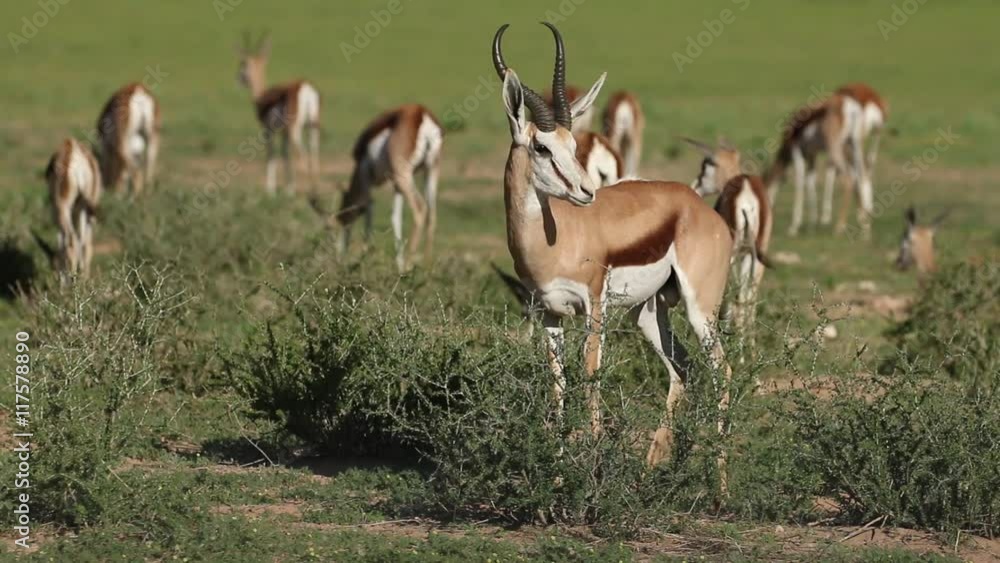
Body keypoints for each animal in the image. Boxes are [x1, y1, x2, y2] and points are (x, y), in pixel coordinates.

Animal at [43, 140, 102, 278]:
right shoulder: (78, 210)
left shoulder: (58, 212)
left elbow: (61, 243)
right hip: (85, 208)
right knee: (85, 244)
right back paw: (83, 280)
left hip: (64, 208)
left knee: (72, 242)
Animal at [235, 34, 320, 196]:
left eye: (243, 64)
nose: (239, 79)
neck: (262, 96)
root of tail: (304, 86)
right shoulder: (283, 133)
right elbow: (284, 155)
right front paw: (285, 188)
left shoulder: (268, 130)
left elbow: (271, 155)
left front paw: (271, 191)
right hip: (313, 127)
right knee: (313, 156)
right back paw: (314, 191)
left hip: (295, 130)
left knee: (302, 157)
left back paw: (300, 192)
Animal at [336, 106, 442, 274]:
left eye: (343, 217)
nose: (339, 257)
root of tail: (421, 112)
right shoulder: (396, 186)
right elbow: (395, 217)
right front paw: (397, 265)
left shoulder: (365, 175)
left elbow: (368, 209)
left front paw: (364, 258)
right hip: (431, 171)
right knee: (432, 215)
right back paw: (426, 268)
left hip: (404, 176)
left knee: (420, 208)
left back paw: (409, 266)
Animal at [494, 23, 736, 472]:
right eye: (542, 147)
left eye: (574, 146)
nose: (587, 192)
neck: (554, 240)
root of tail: (696, 205)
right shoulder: (548, 312)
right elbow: (558, 382)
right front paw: (558, 474)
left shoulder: (594, 305)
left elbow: (590, 375)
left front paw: (591, 466)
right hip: (648, 312)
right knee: (682, 368)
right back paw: (653, 466)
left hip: (700, 310)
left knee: (721, 370)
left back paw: (719, 478)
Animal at [764, 84, 892, 240]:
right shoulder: (811, 155)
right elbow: (810, 182)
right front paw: (812, 225)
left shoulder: (797, 152)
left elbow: (800, 183)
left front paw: (793, 227)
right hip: (855, 145)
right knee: (862, 177)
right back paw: (865, 230)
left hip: (836, 149)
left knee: (849, 179)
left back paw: (839, 228)